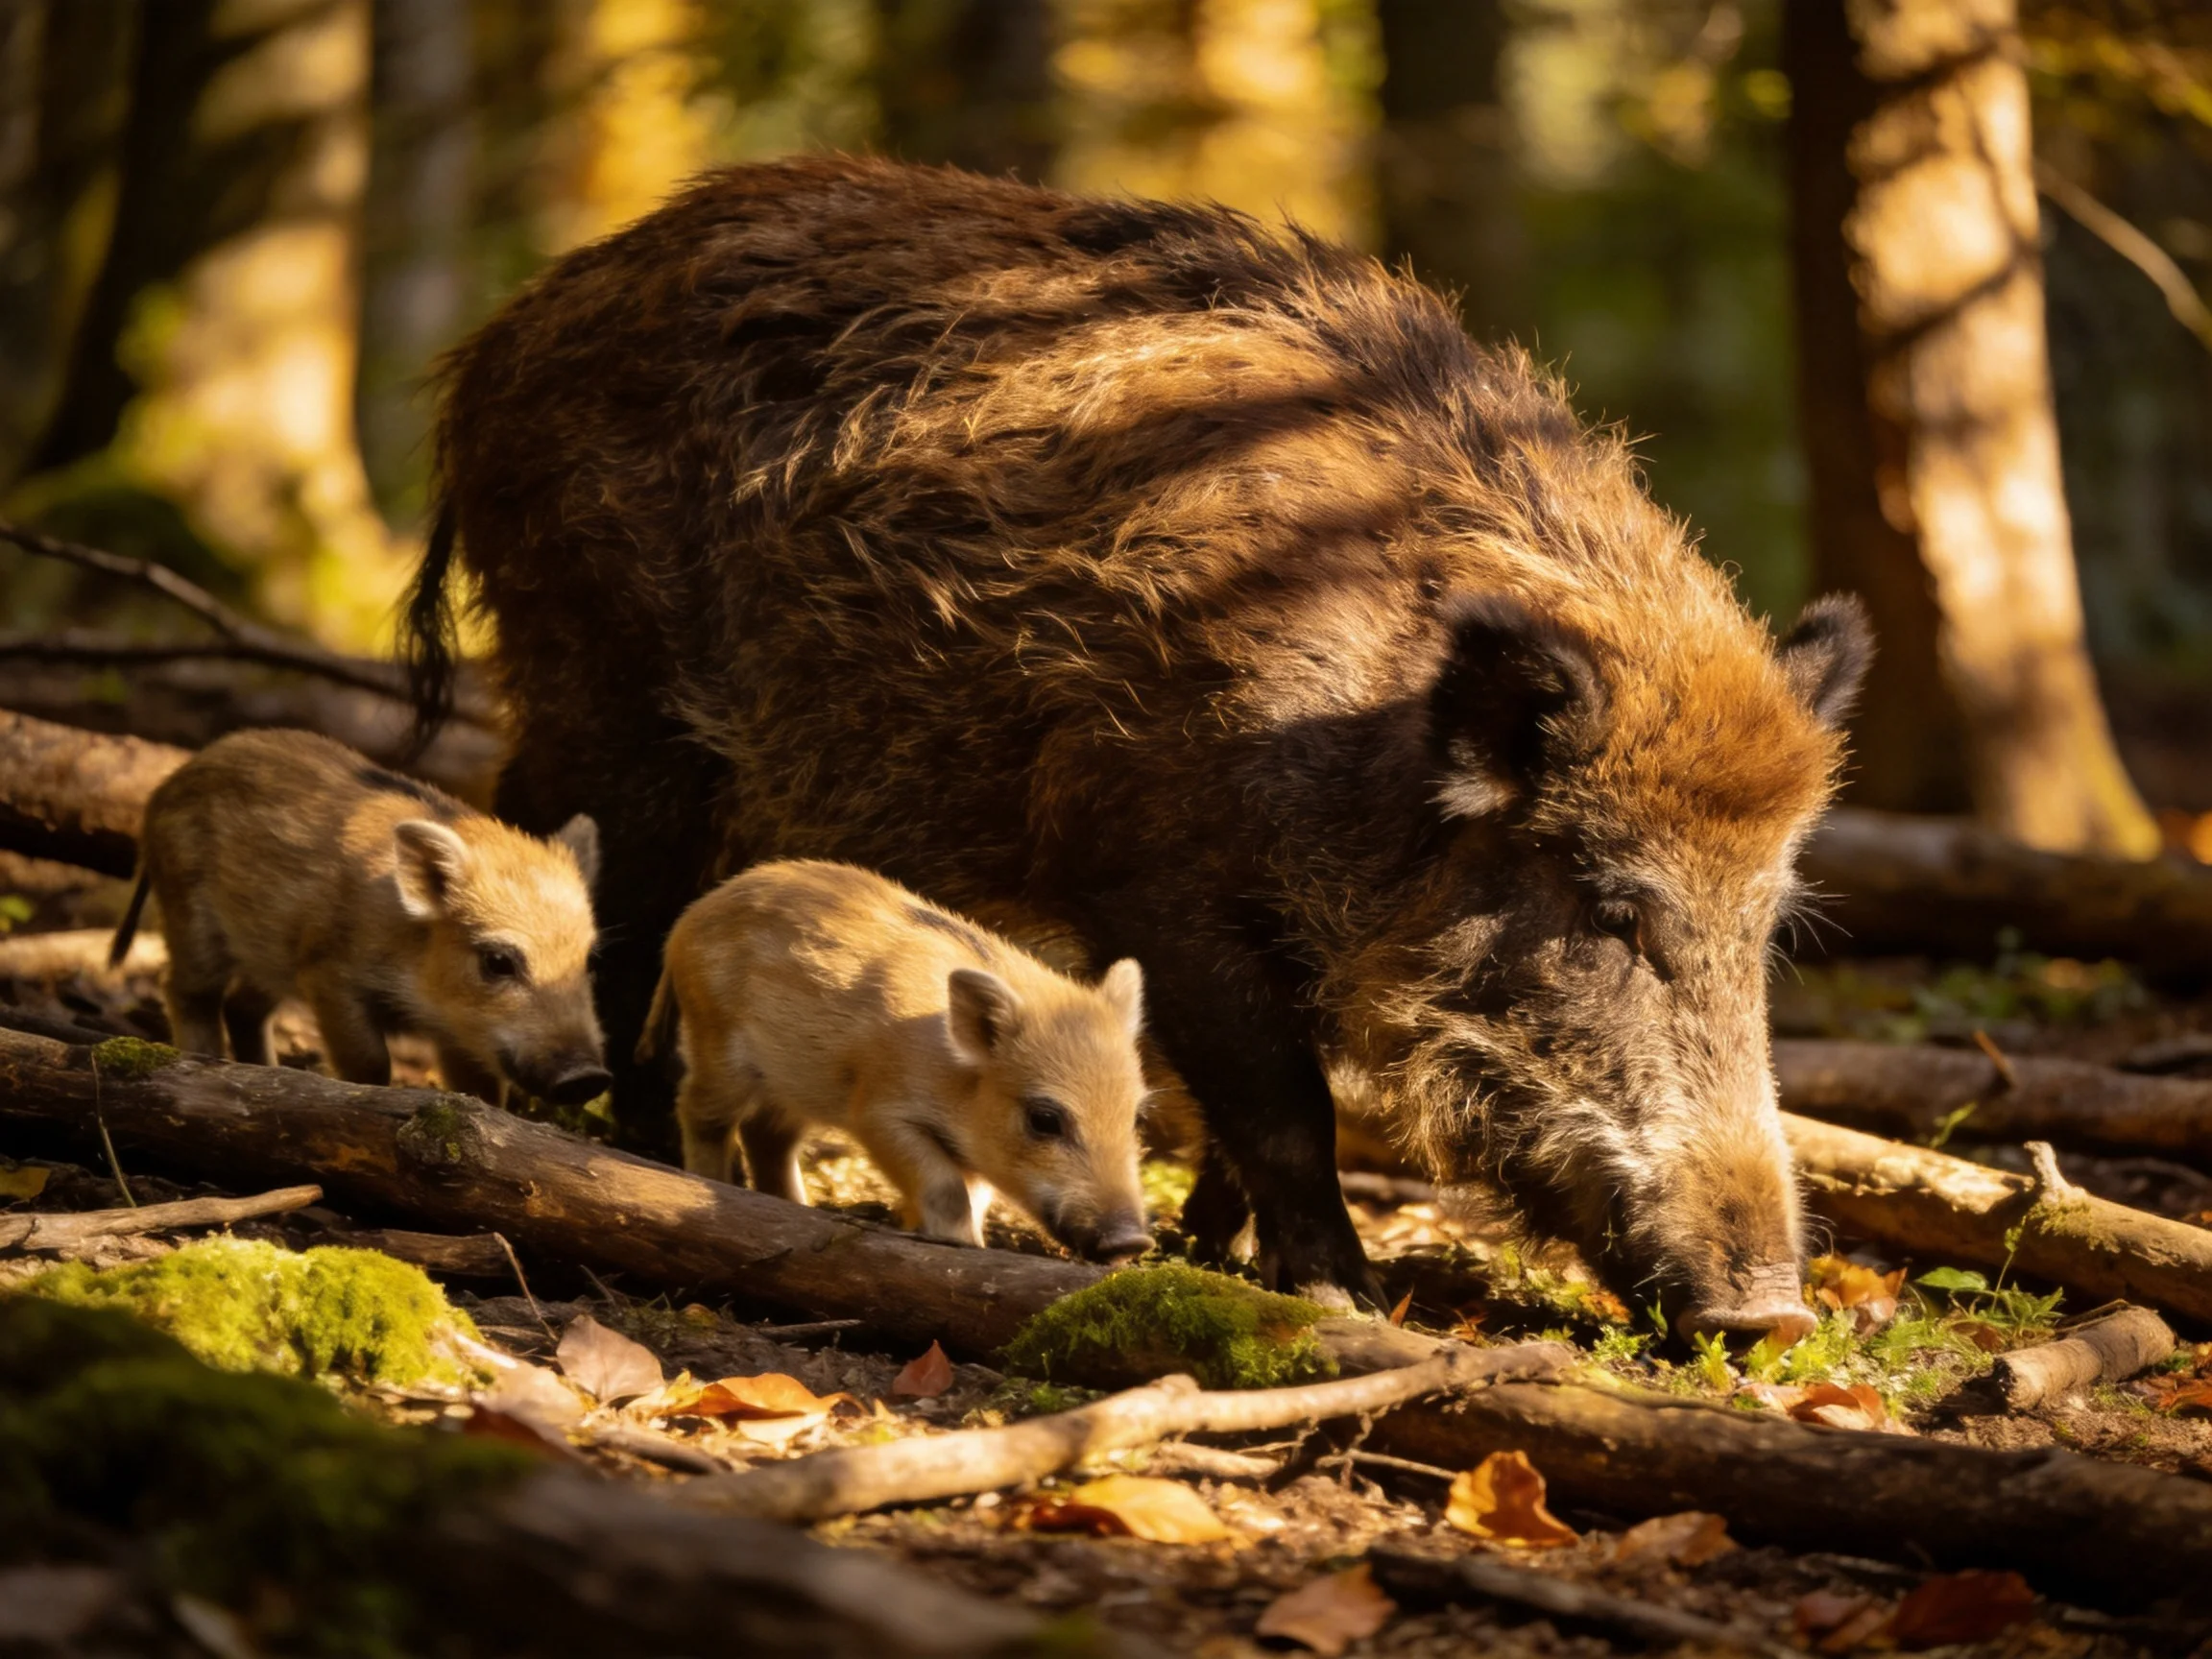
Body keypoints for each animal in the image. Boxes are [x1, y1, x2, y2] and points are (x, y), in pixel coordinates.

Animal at [111, 727, 610, 1107]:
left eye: (589, 962)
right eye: (498, 961)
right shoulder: (328, 972)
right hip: (189, 910)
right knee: (187, 991)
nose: (589, 1076)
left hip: (268, 953)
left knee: (241, 1006)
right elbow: (371, 1062)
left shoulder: (458, 1032)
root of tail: (168, 783)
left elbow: (483, 1090)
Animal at [636, 858, 1153, 1262]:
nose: (1132, 1241)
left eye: (1135, 1118)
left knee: (767, 1135)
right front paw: (961, 1247)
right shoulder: (879, 1110)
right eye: (1044, 1119)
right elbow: (947, 1190)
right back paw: (711, 1181)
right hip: (715, 1041)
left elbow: (977, 1195)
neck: (957, 1077)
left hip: (796, 1082)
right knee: (701, 1112)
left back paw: (799, 1209)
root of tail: (686, 921)